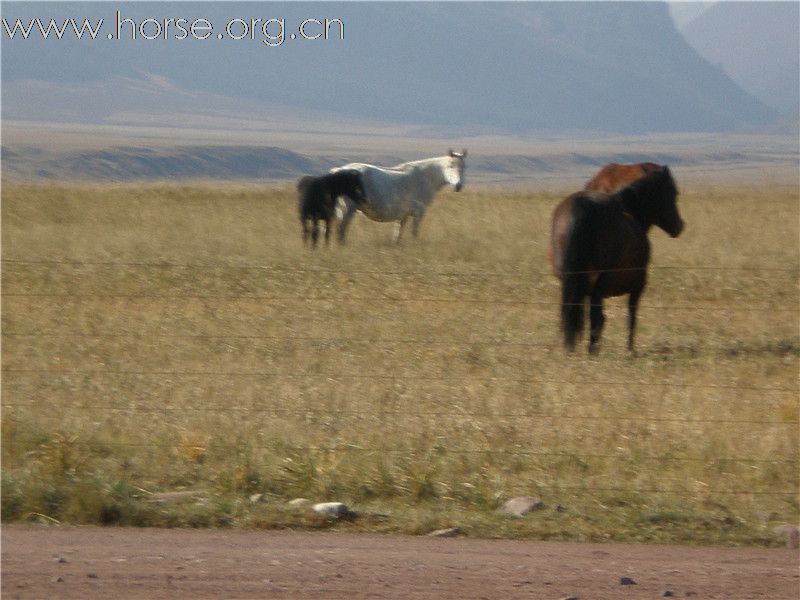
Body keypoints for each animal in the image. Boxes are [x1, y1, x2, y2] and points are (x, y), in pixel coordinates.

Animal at [332, 149, 468, 243]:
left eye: (464, 167)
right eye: (450, 166)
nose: (458, 186)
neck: (423, 178)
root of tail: (340, 170)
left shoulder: (403, 215)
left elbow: (398, 233)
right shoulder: (419, 212)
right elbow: (414, 231)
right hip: (348, 209)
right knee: (342, 228)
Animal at [552, 165, 688, 352]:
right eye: (673, 193)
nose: (679, 226)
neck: (629, 208)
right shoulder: (638, 286)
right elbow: (631, 316)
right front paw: (630, 349)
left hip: (569, 281)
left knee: (573, 313)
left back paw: (571, 348)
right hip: (599, 285)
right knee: (597, 317)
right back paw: (592, 350)